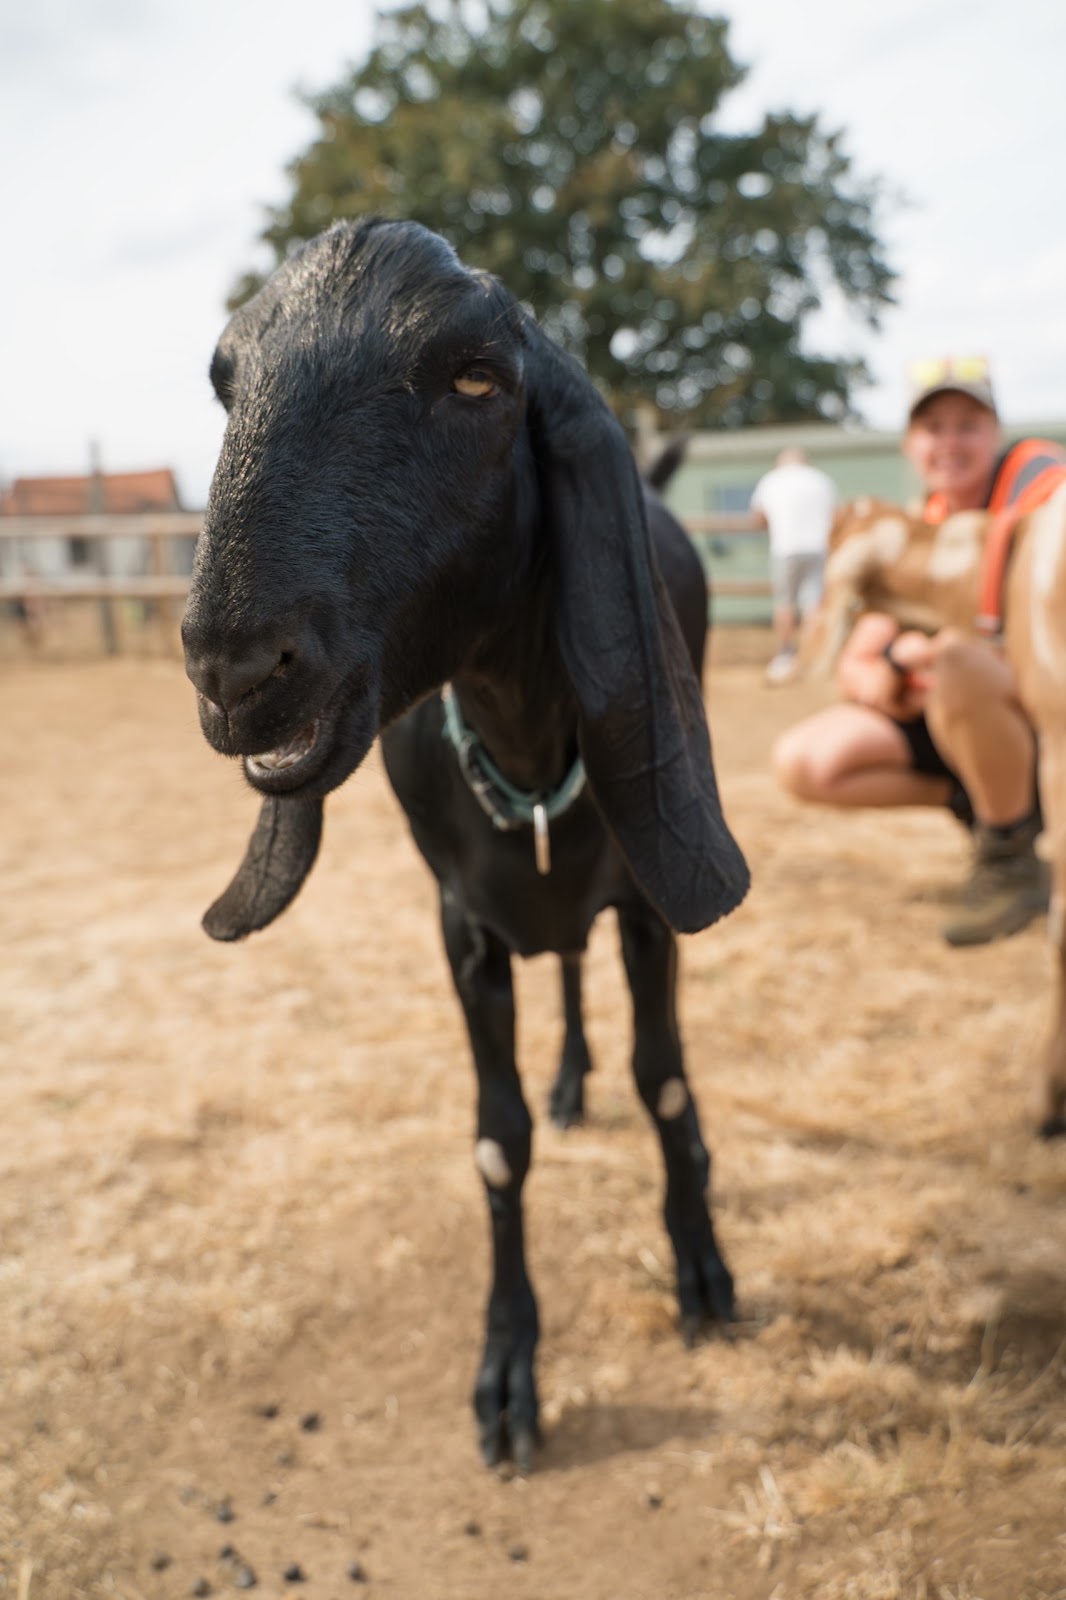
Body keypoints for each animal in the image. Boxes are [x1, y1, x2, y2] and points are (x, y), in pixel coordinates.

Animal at [181, 218, 750, 1468]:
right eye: (226, 381)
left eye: (477, 379)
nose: (236, 670)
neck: (526, 753)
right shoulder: (462, 926)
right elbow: (499, 1142)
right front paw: (506, 1375)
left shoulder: (649, 903)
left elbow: (666, 1083)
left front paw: (701, 1267)